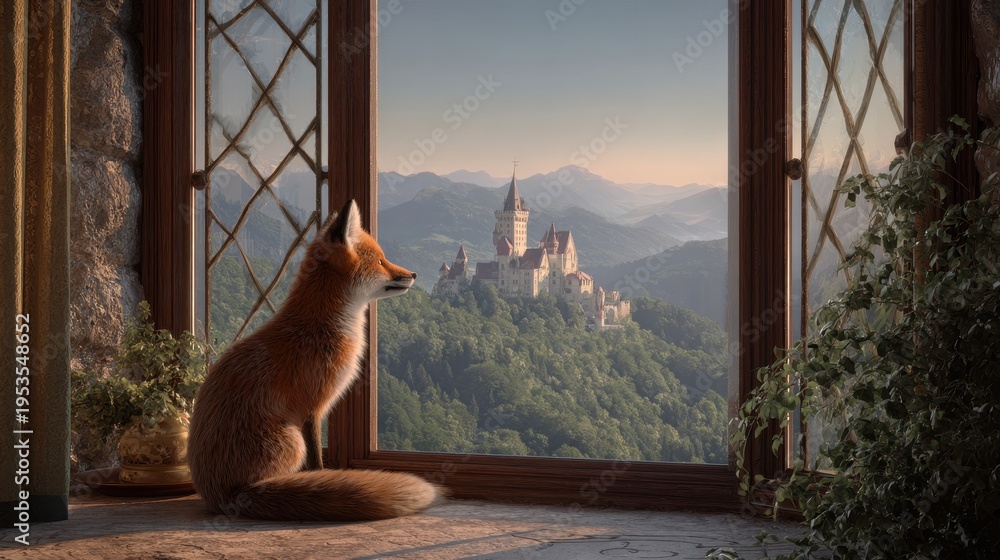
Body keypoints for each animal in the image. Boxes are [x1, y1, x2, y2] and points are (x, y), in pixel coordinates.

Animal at [188, 199, 439, 521]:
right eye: (381, 262)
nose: (415, 275)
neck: (321, 326)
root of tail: (222, 497)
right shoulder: (312, 407)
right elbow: (317, 461)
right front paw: (323, 478)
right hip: (292, 440)